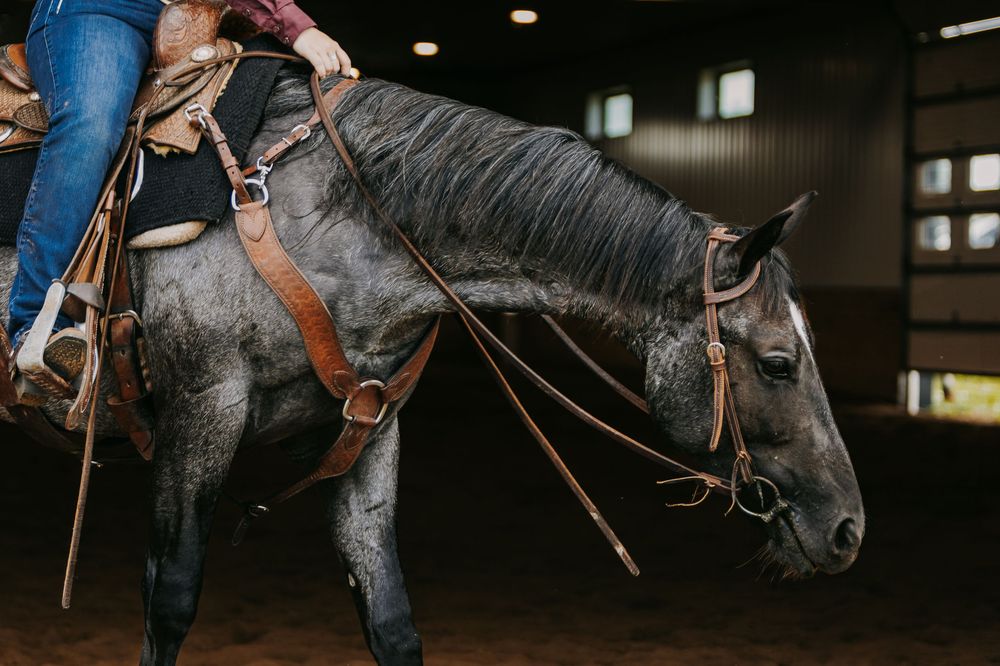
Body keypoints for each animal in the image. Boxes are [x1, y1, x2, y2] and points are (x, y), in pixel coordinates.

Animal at [0, 70, 865, 665]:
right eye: (779, 362)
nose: (849, 529)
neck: (330, 220)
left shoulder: (368, 430)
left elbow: (391, 619)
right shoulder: (200, 413)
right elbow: (170, 601)